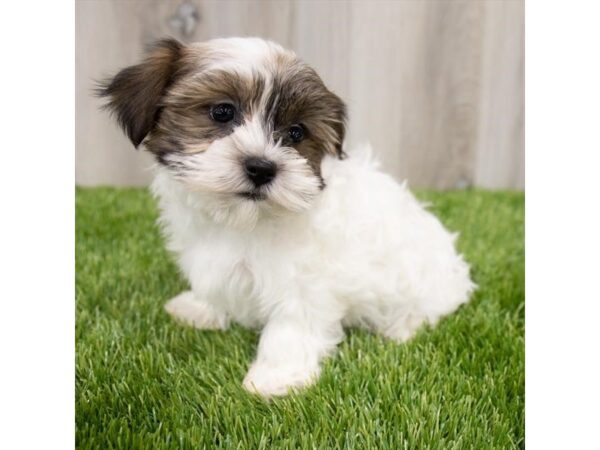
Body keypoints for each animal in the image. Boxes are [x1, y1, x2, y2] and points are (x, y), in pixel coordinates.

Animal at [99, 38, 474, 398]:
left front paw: (275, 378)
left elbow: (291, 325)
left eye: (296, 133)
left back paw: (402, 328)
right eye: (222, 112)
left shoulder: (306, 280)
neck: (244, 220)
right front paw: (201, 308)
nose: (262, 167)